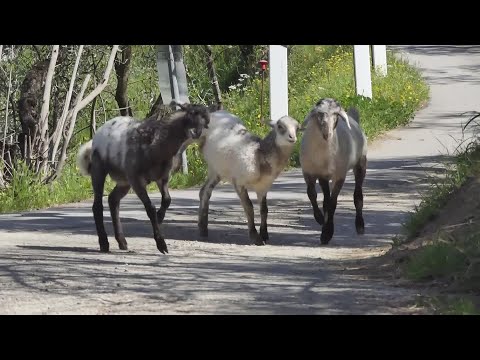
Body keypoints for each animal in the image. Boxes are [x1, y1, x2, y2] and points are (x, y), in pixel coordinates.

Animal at [76, 100, 208, 253]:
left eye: (207, 120)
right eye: (191, 114)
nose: (197, 133)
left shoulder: (162, 177)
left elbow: (167, 200)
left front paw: (160, 217)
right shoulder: (136, 179)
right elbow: (150, 208)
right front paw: (161, 244)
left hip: (124, 181)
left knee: (113, 200)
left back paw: (122, 242)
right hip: (99, 169)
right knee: (97, 205)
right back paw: (104, 243)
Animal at [197, 109, 298, 245]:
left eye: (297, 128)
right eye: (280, 126)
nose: (293, 138)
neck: (258, 154)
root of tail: (217, 112)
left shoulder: (263, 187)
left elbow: (264, 210)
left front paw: (264, 234)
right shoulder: (239, 182)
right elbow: (249, 207)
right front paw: (255, 237)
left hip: (217, 169)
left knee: (205, 191)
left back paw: (203, 228)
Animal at [300, 98, 368, 245]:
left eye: (336, 115)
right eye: (320, 114)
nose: (328, 134)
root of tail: (354, 119)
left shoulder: (339, 176)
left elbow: (332, 203)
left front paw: (327, 233)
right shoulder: (313, 173)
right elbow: (313, 195)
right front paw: (320, 219)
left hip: (361, 163)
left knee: (358, 195)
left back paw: (360, 225)